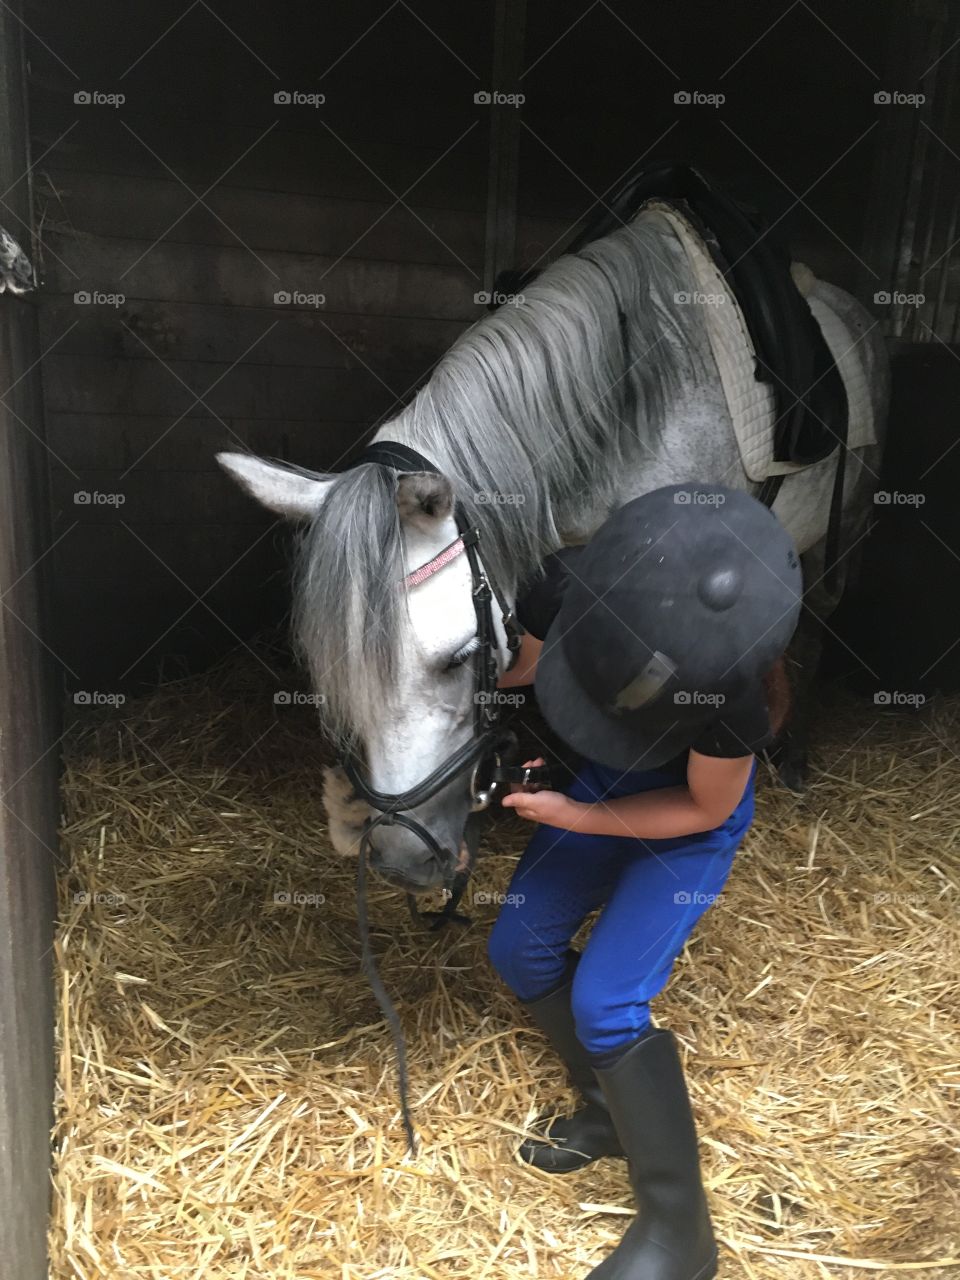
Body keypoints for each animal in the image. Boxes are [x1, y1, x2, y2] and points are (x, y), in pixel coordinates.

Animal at [219, 203, 889, 896]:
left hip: (847, 528)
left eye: (460, 659)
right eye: (331, 674)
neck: (639, 405)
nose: (402, 862)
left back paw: (794, 757)